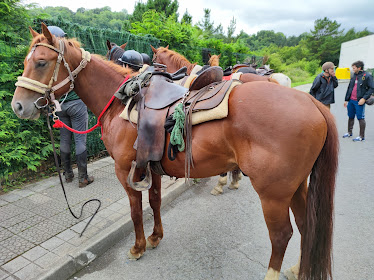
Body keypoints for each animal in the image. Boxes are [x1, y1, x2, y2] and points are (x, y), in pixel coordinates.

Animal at [12, 24, 338, 280]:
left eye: (40, 62)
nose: (18, 106)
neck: (121, 102)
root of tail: (312, 104)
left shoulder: (125, 171)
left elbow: (135, 211)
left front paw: (138, 247)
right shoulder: (151, 167)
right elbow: (154, 202)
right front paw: (156, 237)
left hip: (273, 193)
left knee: (282, 235)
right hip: (296, 186)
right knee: (307, 224)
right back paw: (298, 268)